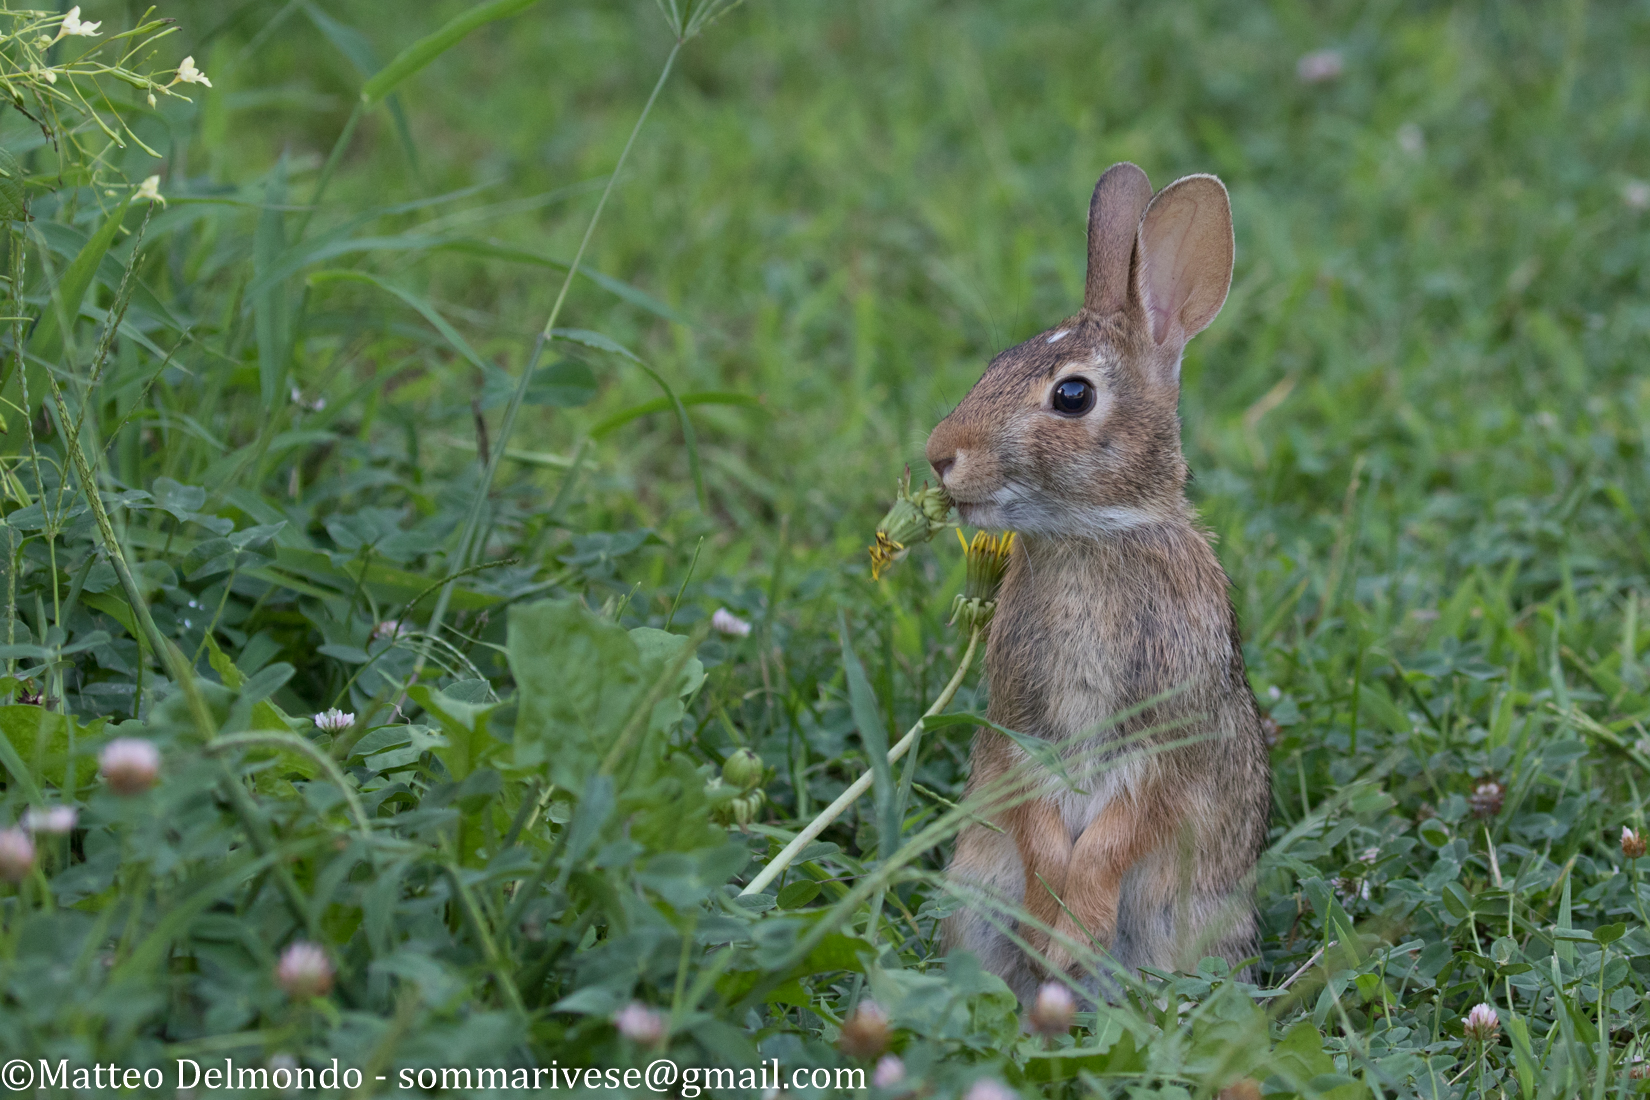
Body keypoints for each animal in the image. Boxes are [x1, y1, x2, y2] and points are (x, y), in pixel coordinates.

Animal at [925, 163, 1270, 1002]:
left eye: (1072, 396)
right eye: (993, 365)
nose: (938, 455)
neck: (1090, 537)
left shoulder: (1166, 740)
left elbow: (1121, 831)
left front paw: (1074, 928)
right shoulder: (1023, 729)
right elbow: (1039, 818)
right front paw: (1051, 924)